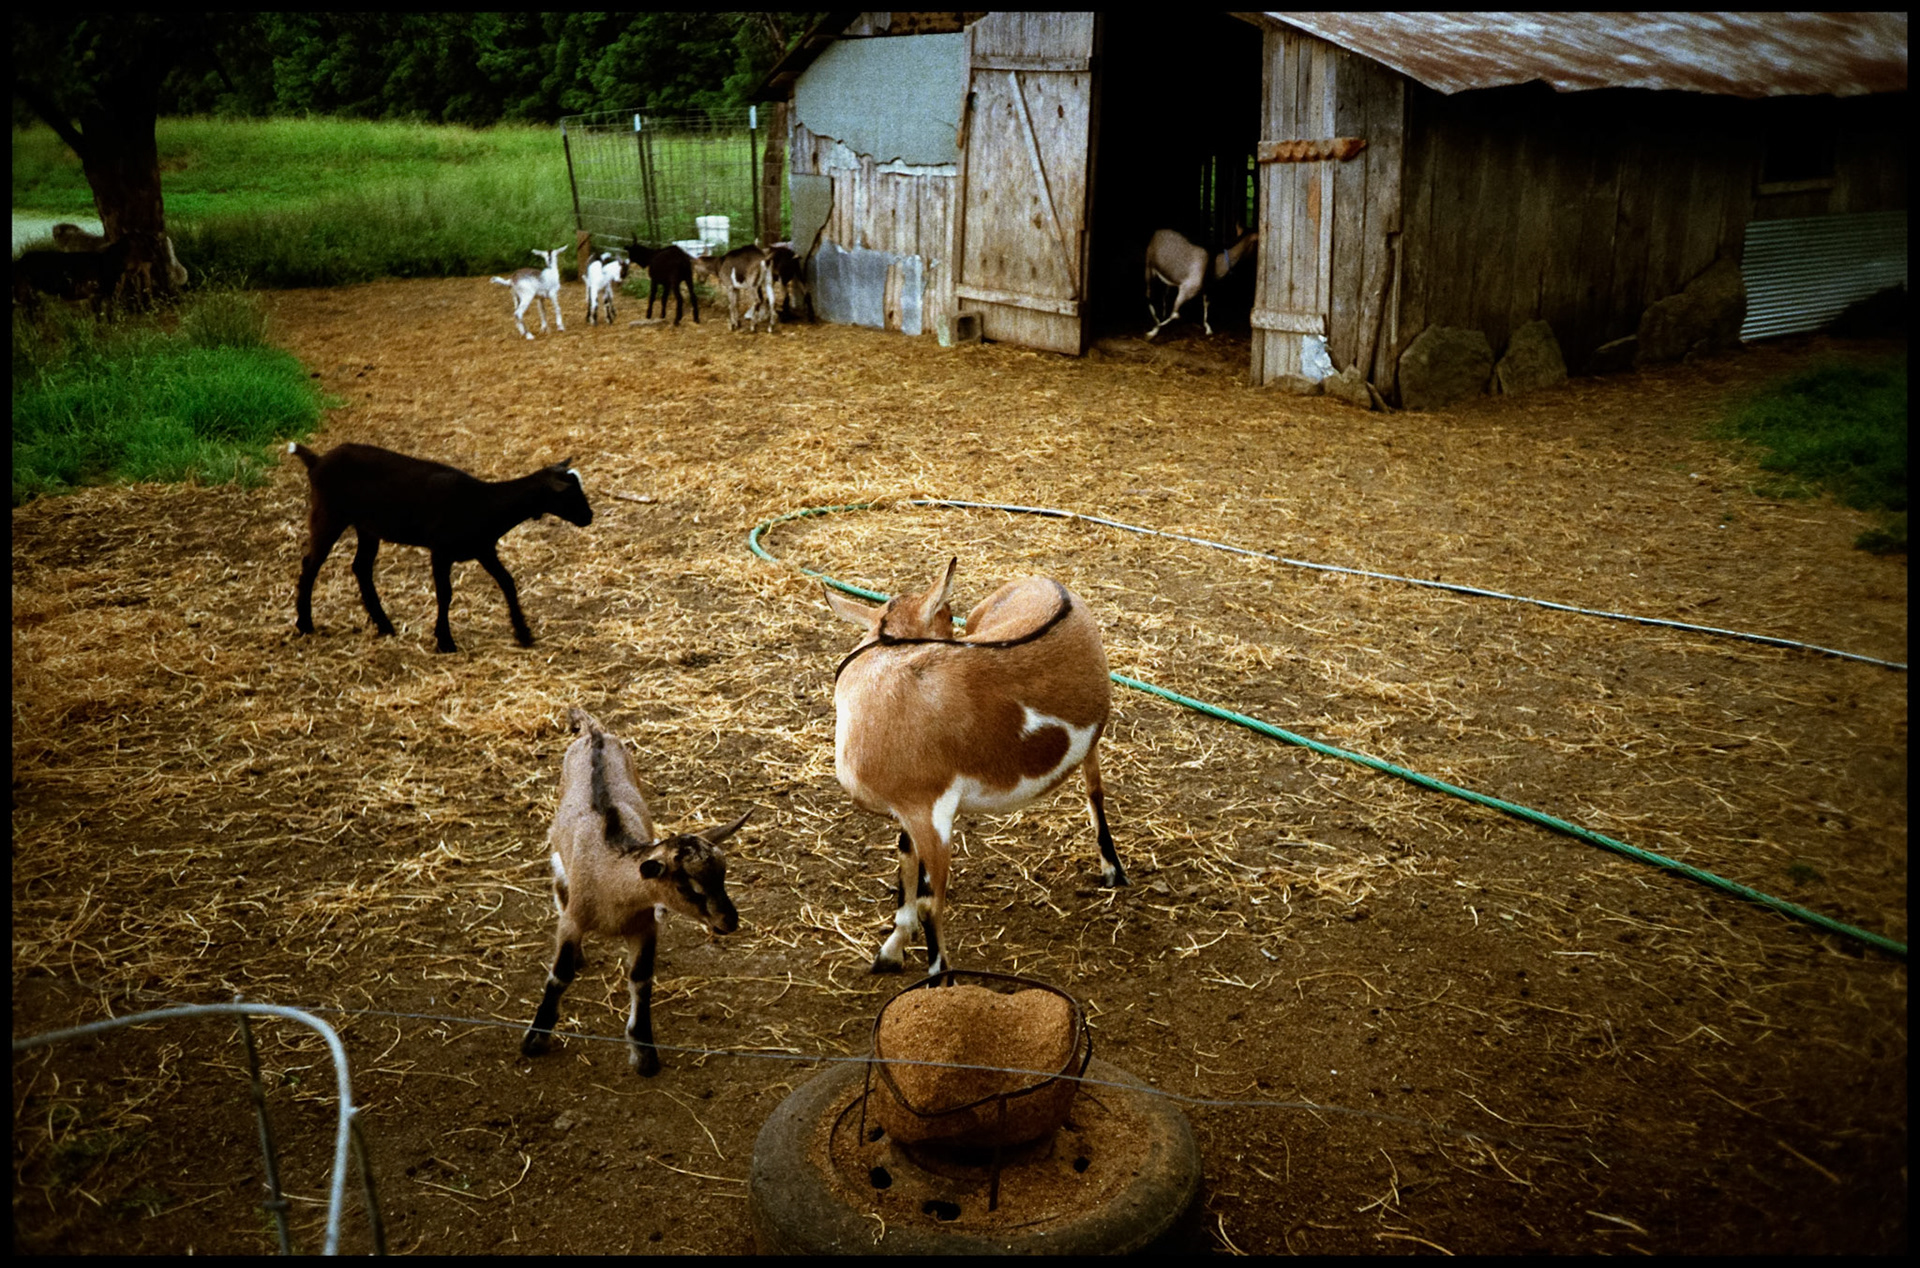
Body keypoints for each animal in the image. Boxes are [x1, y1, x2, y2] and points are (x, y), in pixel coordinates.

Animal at [288, 442, 592, 654]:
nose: (589, 517)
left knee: (361, 567)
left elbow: (507, 582)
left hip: (367, 527)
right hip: (329, 514)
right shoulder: (441, 551)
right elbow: (445, 594)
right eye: (569, 494)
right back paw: (305, 624)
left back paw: (385, 625)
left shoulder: (483, 549)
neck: (485, 503)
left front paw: (523, 633)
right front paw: (445, 641)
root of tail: (316, 461)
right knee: (311, 563)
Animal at [521, 707, 748, 1076]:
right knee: (559, 882)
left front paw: (644, 1051)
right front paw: (535, 1038)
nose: (728, 921)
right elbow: (560, 974)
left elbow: (641, 978)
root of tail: (594, 732)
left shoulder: (644, 928)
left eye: (723, 876)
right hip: (557, 841)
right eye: (686, 886)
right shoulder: (573, 921)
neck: (613, 884)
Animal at [826, 559, 1125, 975]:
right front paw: (891, 950)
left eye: (946, 614)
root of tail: (1044, 581)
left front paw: (938, 978)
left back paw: (1113, 869)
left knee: (1094, 788)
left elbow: (929, 903)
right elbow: (906, 869)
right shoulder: (910, 810)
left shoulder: (930, 811)